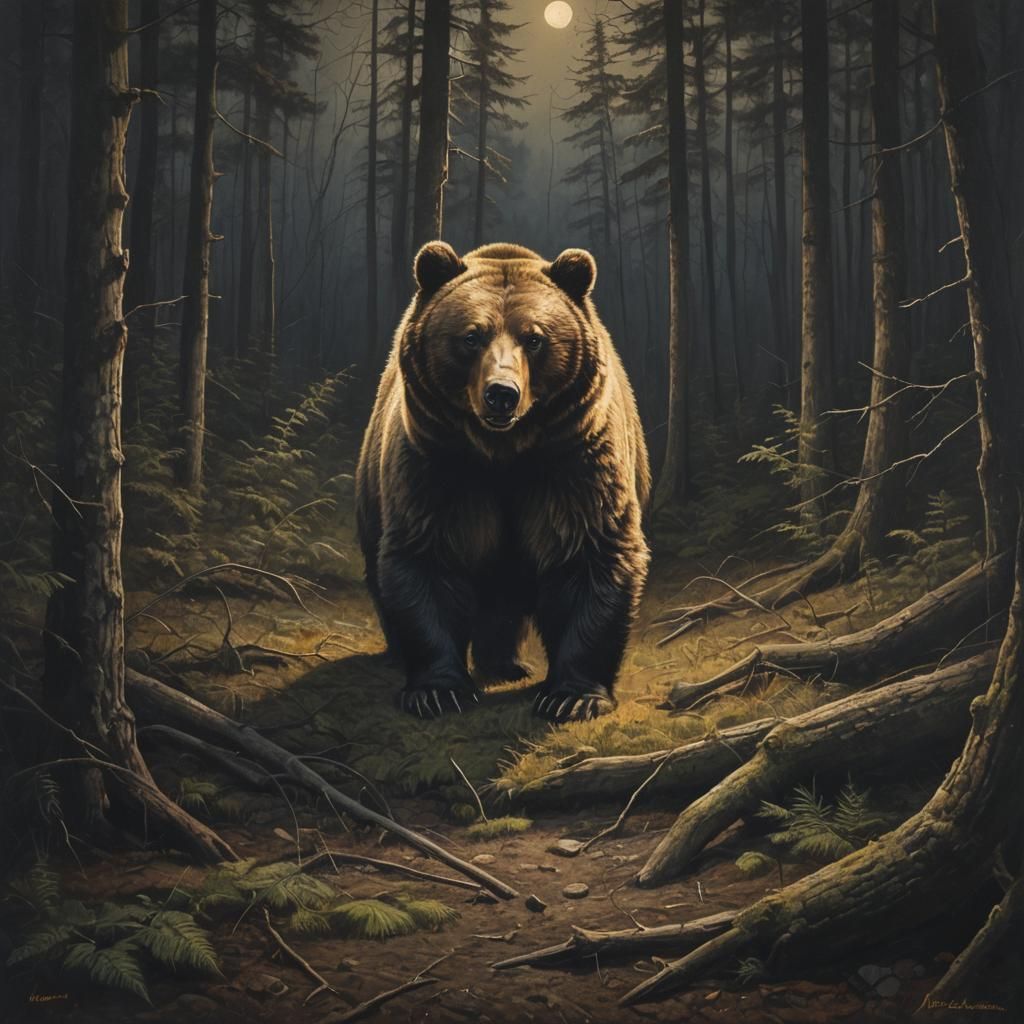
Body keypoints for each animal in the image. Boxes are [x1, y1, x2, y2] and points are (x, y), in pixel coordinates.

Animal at [355, 241, 650, 722]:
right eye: (471, 336)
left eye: (535, 338)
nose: (501, 393)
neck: (504, 453)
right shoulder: (436, 464)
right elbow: (427, 556)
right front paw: (438, 690)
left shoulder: (576, 461)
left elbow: (592, 553)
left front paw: (571, 696)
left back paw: (506, 664)